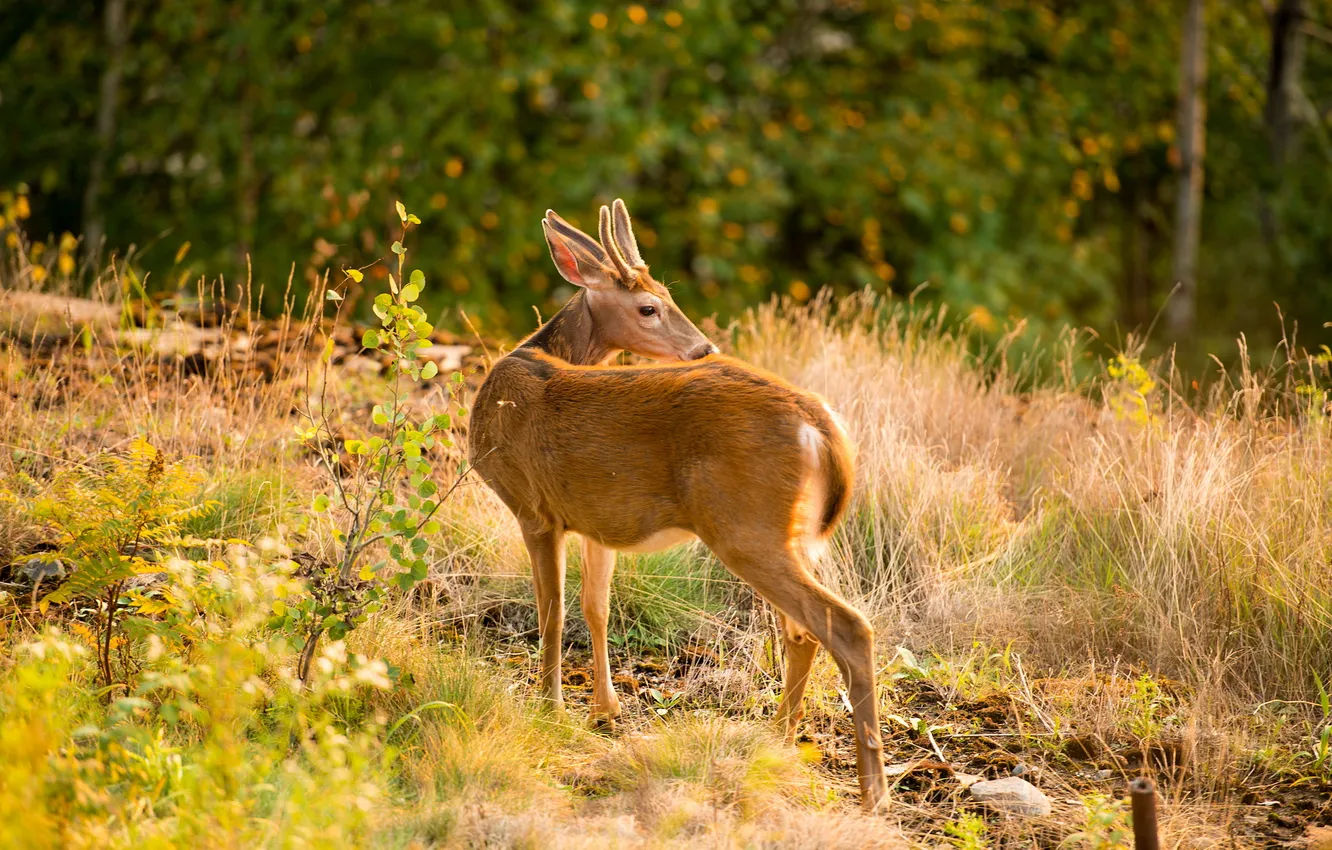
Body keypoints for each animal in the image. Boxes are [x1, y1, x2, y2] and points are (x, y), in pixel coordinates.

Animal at [463, 199, 889, 810]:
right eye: (649, 304)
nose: (704, 348)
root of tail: (822, 425)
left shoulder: (533, 507)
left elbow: (552, 611)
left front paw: (550, 711)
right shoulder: (595, 521)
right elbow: (595, 607)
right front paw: (605, 710)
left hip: (744, 526)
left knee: (846, 626)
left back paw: (871, 789)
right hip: (792, 534)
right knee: (802, 631)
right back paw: (777, 739)